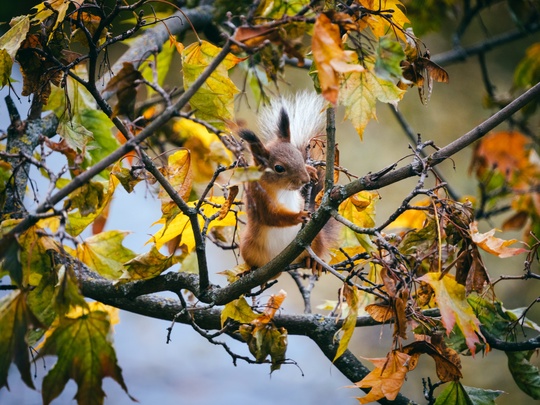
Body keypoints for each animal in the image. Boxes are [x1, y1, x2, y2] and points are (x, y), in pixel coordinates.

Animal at [238, 92, 336, 272]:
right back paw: (250, 269)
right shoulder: (258, 198)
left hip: (316, 238)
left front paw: (311, 171)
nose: (305, 179)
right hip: (248, 245)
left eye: (299, 155)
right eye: (279, 168)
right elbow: (271, 216)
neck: (280, 189)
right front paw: (298, 215)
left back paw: (313, 261)